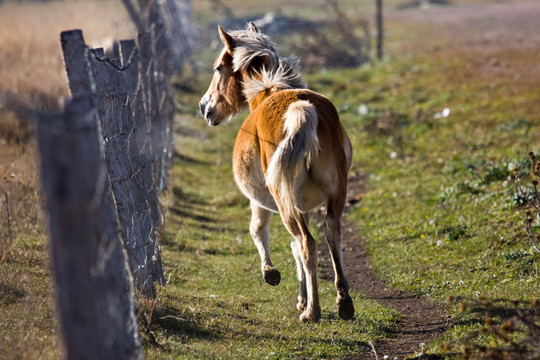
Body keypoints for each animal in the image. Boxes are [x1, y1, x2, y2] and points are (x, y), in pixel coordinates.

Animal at [198, 23, 354, 324]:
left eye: (218, 68)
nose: (204, 107)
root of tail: (301, 109)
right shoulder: (306, 206)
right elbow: (294, 248)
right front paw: (301, 296)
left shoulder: (260, 201)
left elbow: (258, 231)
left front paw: (271, 274)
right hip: (333, 197)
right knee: (332, 235)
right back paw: (344, 304)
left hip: (285, 203)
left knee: (306, 244)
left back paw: (312, 312)